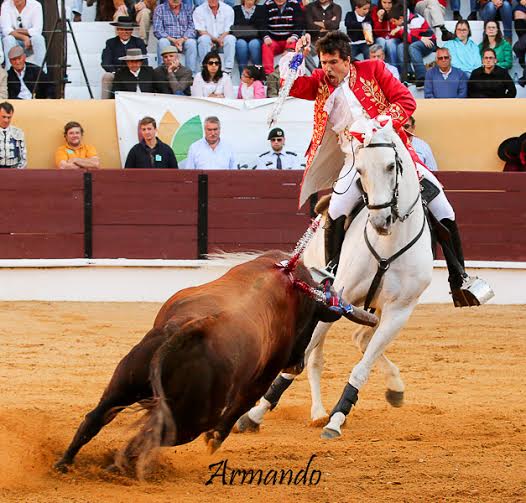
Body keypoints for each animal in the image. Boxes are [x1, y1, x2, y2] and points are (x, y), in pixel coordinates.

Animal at [54, 250, 345, 477]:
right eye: (314, 319)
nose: (296, 365)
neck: (287, 280)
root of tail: (191, 330)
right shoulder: (260, 379)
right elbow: (238, 410)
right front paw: (214, 442)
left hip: (125, 381)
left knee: (98, 417)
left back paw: (65, 464)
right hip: (194, 418)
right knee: (153, 437)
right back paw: (115, 467)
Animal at [235, 116, 434, 439]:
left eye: (391, 166)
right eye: (360, 171)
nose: (380, 222)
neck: (388, 245)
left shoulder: (399, 311)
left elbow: (362, 365)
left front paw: (338, 417)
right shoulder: (333, 301)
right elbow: (300, 358)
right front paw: (253, 413)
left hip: (373, 310)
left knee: (360, 341)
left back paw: (383, 391)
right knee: (318, 355)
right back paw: (316, 411)